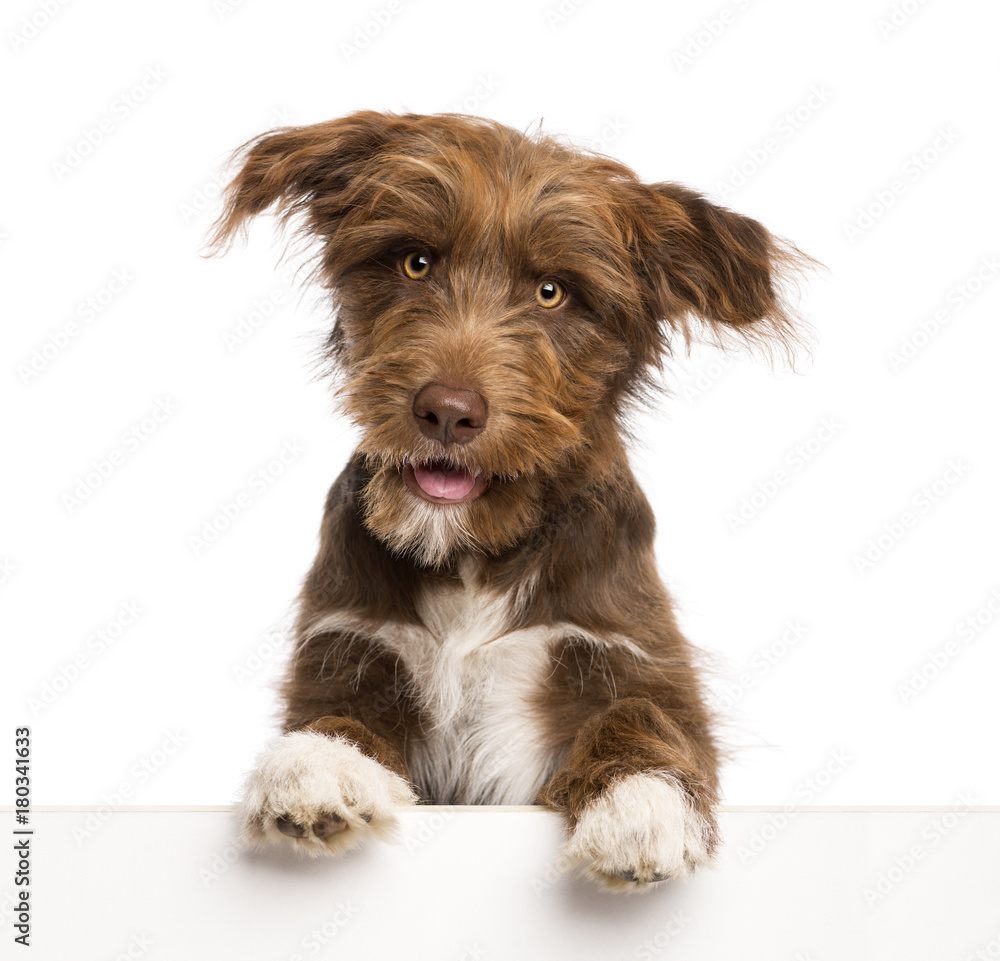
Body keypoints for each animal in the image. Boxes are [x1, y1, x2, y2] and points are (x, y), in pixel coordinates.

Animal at [209, 112, 804, 892]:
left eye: (553, 292)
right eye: (416, 263)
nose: (447, 412)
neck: (471, 552)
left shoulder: (633, 656)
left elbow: (645, 718)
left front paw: (641, 804)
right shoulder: (348, 643)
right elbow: (335, 713)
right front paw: (315, 763)